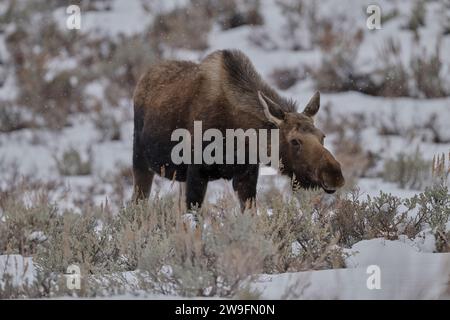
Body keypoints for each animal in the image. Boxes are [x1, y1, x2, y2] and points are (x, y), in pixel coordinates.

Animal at [130, 49, 344, 210]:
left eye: (322, 136)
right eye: (295, 141)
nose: (334, 175)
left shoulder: (245, 177)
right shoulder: (196, 174)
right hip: (141, 162)